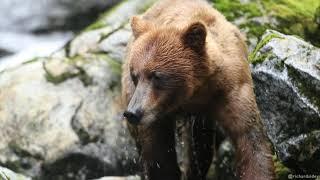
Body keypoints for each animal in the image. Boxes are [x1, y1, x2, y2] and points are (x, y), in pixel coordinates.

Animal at [122, 0, 276, 180]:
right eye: (135, 75)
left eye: (157, 75)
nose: (132, 112)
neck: (196, 91)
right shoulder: (154, 113)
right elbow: (158, 153)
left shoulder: (231, 89)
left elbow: (250, 139)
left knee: (201, 148)